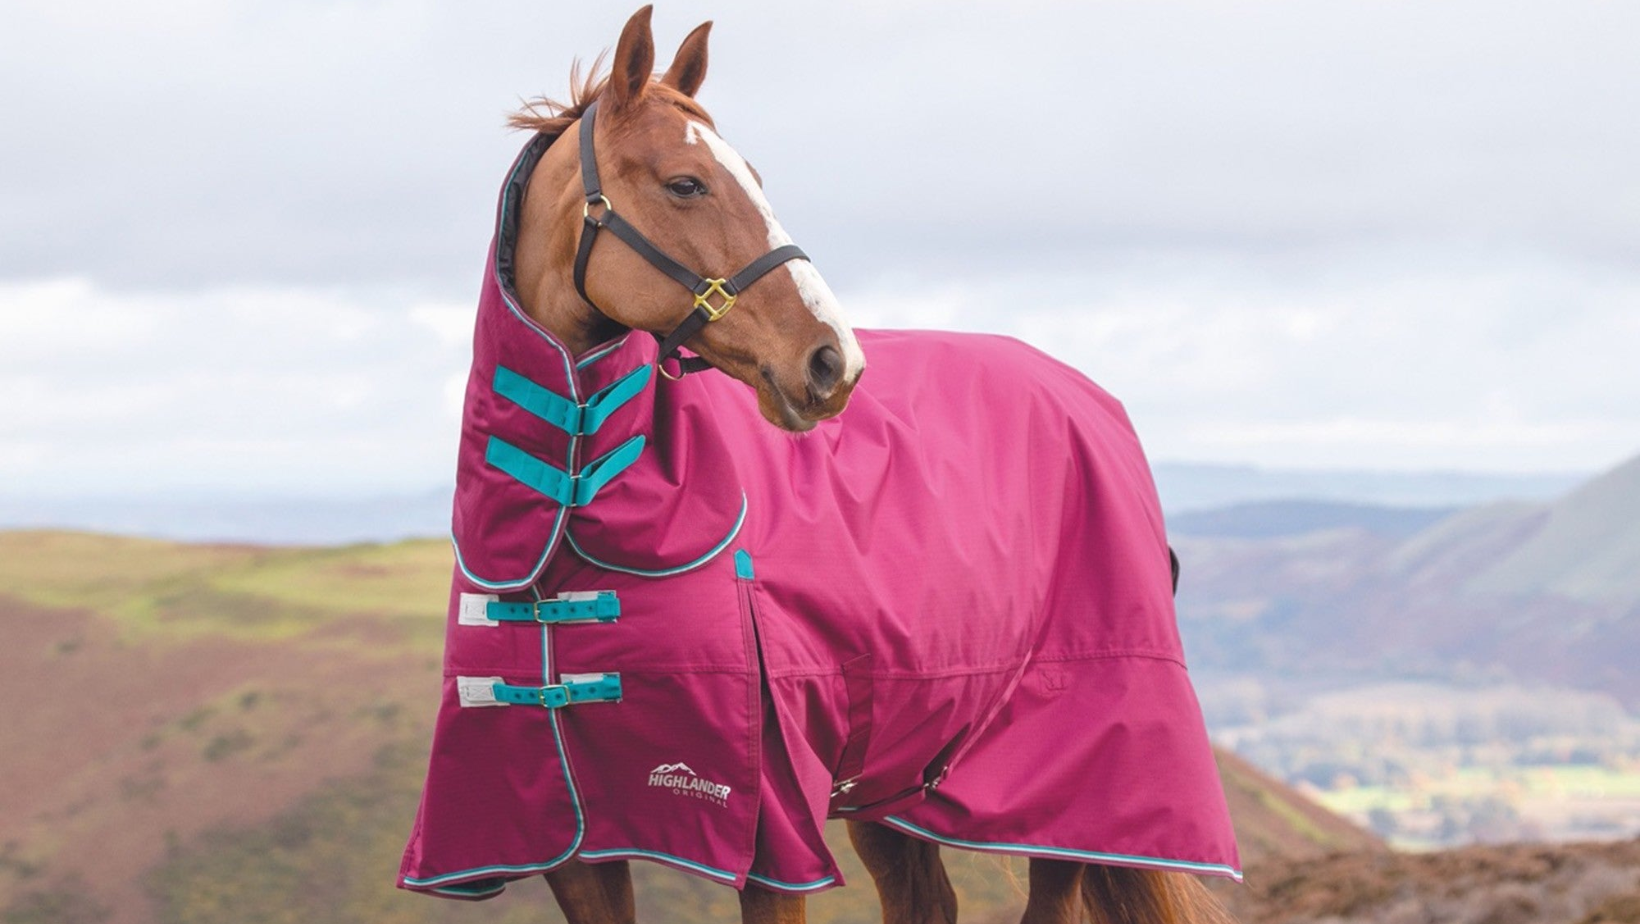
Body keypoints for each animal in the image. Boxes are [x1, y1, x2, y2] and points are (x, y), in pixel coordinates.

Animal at [398, 8, 1241, 923]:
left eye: (754, 177)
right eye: (686, 184)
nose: (835, 361)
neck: (575, 514)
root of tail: (1091, 399)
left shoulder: (769, 836)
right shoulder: (572, 848)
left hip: (1065, 791)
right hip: (896, 778)